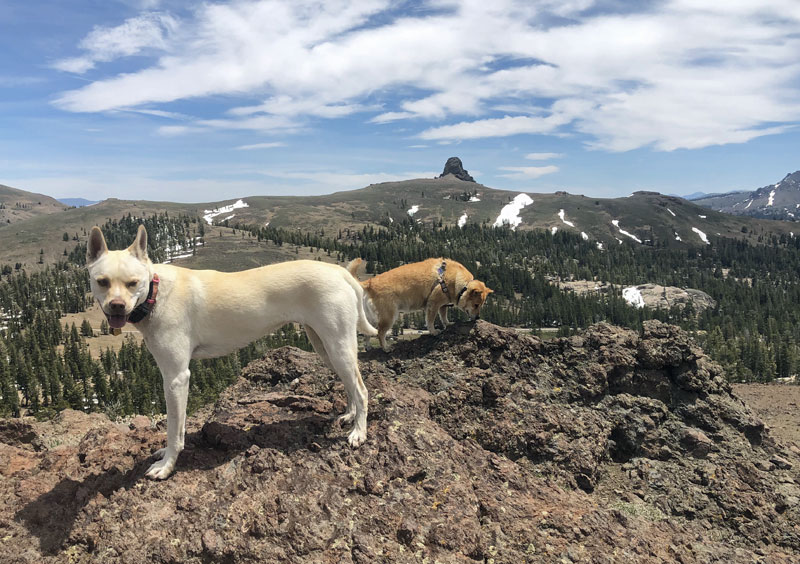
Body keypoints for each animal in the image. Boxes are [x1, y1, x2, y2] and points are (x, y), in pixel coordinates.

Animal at [84, 225, 378, 480]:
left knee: (362, 389)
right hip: (325, 345)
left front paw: (167, 465)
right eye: (102, 282)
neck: (155, 293)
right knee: (350, 384)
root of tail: (340, 272)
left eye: (133, 283)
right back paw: (350, 415)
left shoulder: (176, 377)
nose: (117, 306)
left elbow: (173, 429)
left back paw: (359, 432)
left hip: (337, 344)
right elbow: (177, 426)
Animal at [346, 258, 490, 350]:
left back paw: (368, 346)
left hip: (373, 317)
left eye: (482, 305)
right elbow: (430, 321)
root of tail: (370, 283)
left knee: (367, 332)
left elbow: (443, 317)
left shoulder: (443, 305)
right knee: (380, 333)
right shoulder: (433, 304)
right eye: (476, 305)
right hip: (389, 316)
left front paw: (448, 324)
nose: (478, 318)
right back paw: (386, 348)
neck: (458, 283)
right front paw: (433, 332)